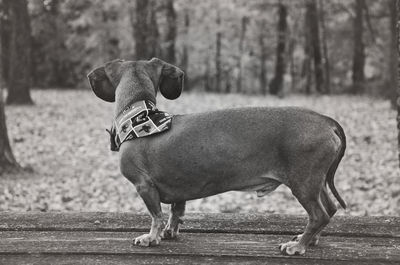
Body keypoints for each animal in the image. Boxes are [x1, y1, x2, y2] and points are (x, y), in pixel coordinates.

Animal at [87, 57, 346, 254]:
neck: (142, 119)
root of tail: (326, 121)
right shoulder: (179, 188)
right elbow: (175, 211)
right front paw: (170, 231)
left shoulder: (144, 186)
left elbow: (156, 216)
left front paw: (151, 237)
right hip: (316, 182)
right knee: (330, 209)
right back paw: (307, 239)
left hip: (302, 183)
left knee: (319, 215)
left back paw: (298, 246)